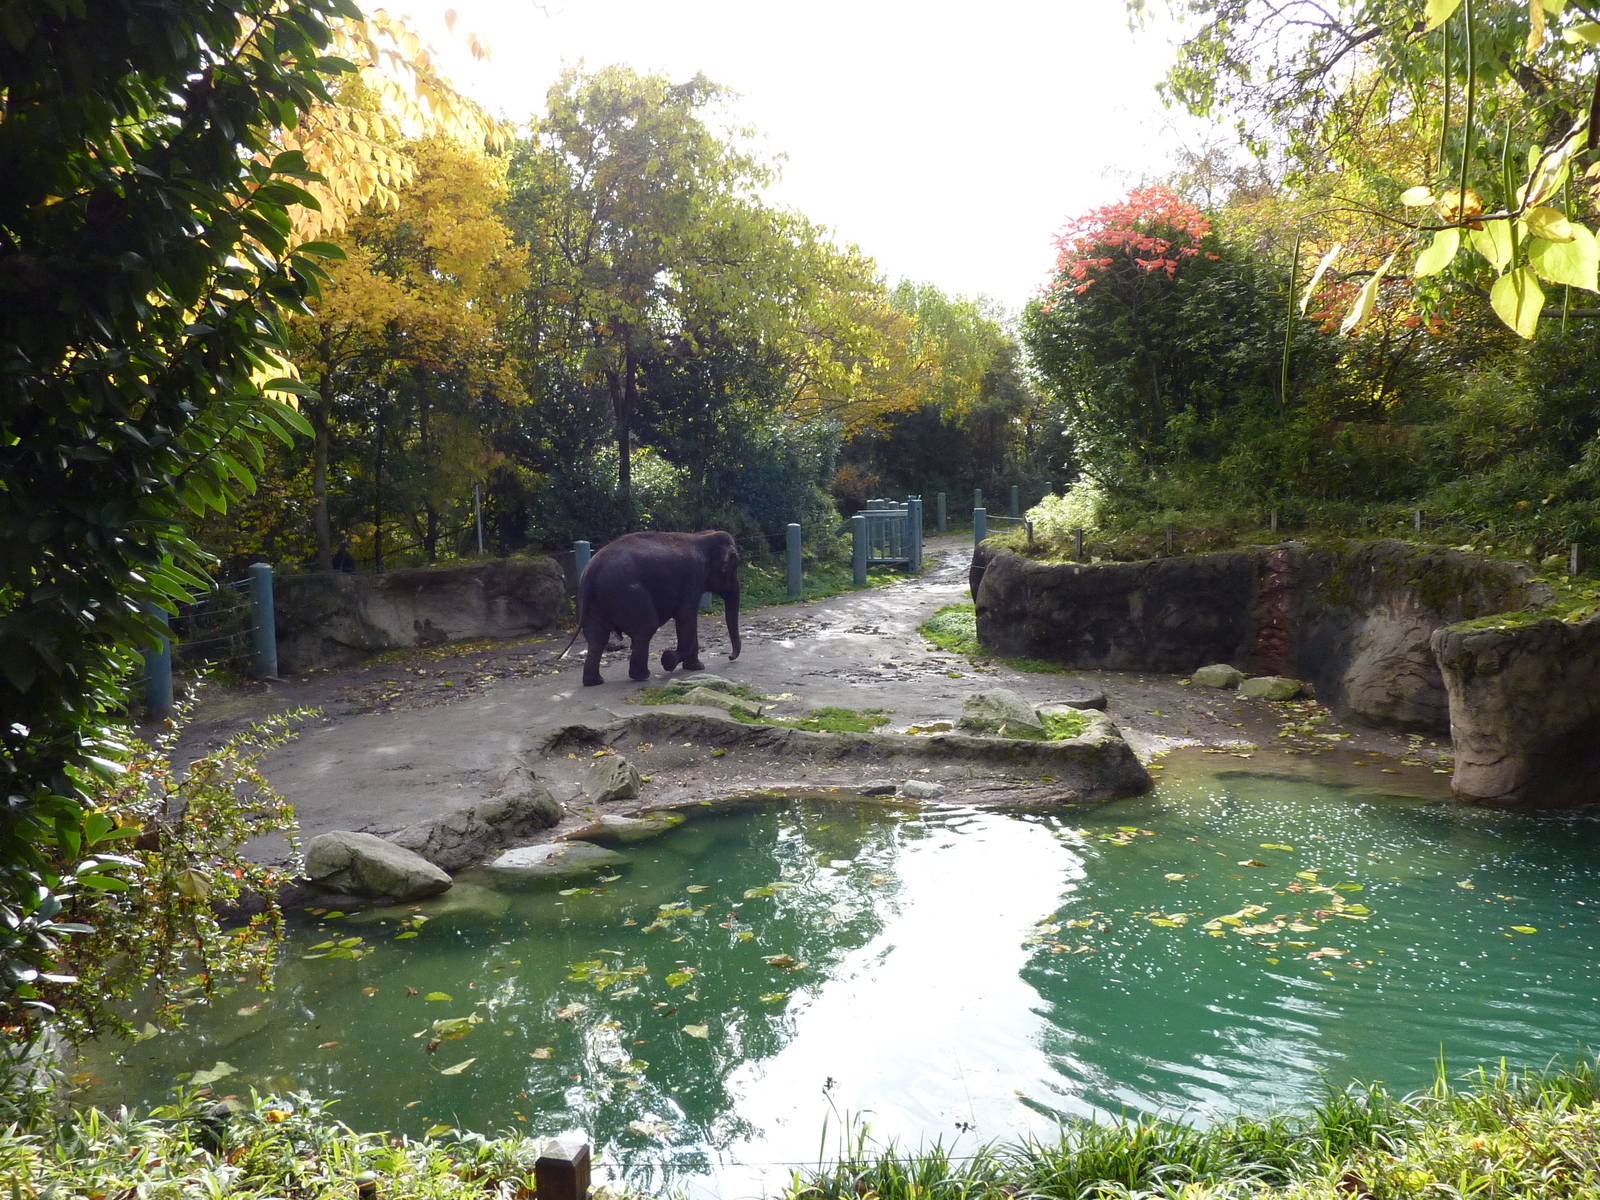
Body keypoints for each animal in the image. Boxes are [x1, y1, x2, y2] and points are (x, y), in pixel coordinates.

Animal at [570, 530, 742, 687]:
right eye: (732, 569)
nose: (730, 657)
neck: (702, 536)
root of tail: (591, 570)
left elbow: (688, 620)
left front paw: (696, 667)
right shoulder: (693, 577)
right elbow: (686, 617)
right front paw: (669, 661)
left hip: (595, 601)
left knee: (597, 638)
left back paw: (595, 681)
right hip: (627, 593)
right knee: (645, 628)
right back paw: (641, 676)